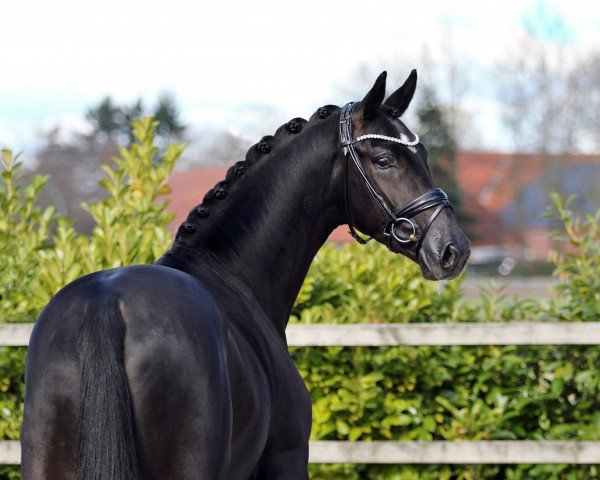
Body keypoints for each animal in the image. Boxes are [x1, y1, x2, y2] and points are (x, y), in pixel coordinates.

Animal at [22, 71, 468, 480]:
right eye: (384, 160)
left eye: (425, 154)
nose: (453, 249)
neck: (231, 271)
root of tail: (108, 306)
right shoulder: (286, 460)